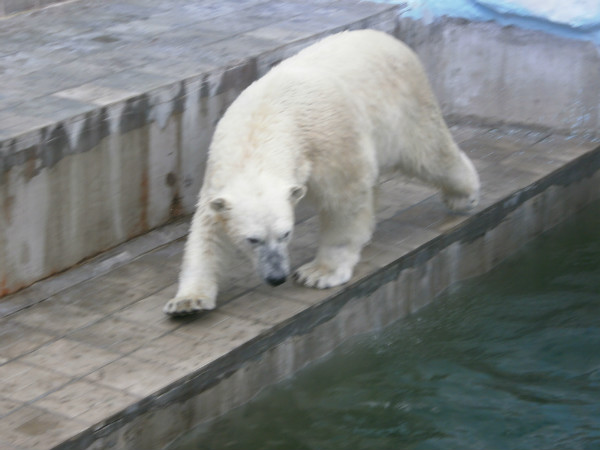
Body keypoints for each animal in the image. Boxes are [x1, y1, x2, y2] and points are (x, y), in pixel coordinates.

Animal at [164, 29, 480, 315]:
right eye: (253, 239)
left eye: (286, 234)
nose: (276, 277)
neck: (263, 125)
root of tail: (389, 38)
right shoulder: (218, 172)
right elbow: (208, 230)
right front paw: (187, 302)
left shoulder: (330, 141)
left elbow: (343, 200)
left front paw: (318, 273)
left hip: (404, 105)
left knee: (430, 153)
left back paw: (464, 195)